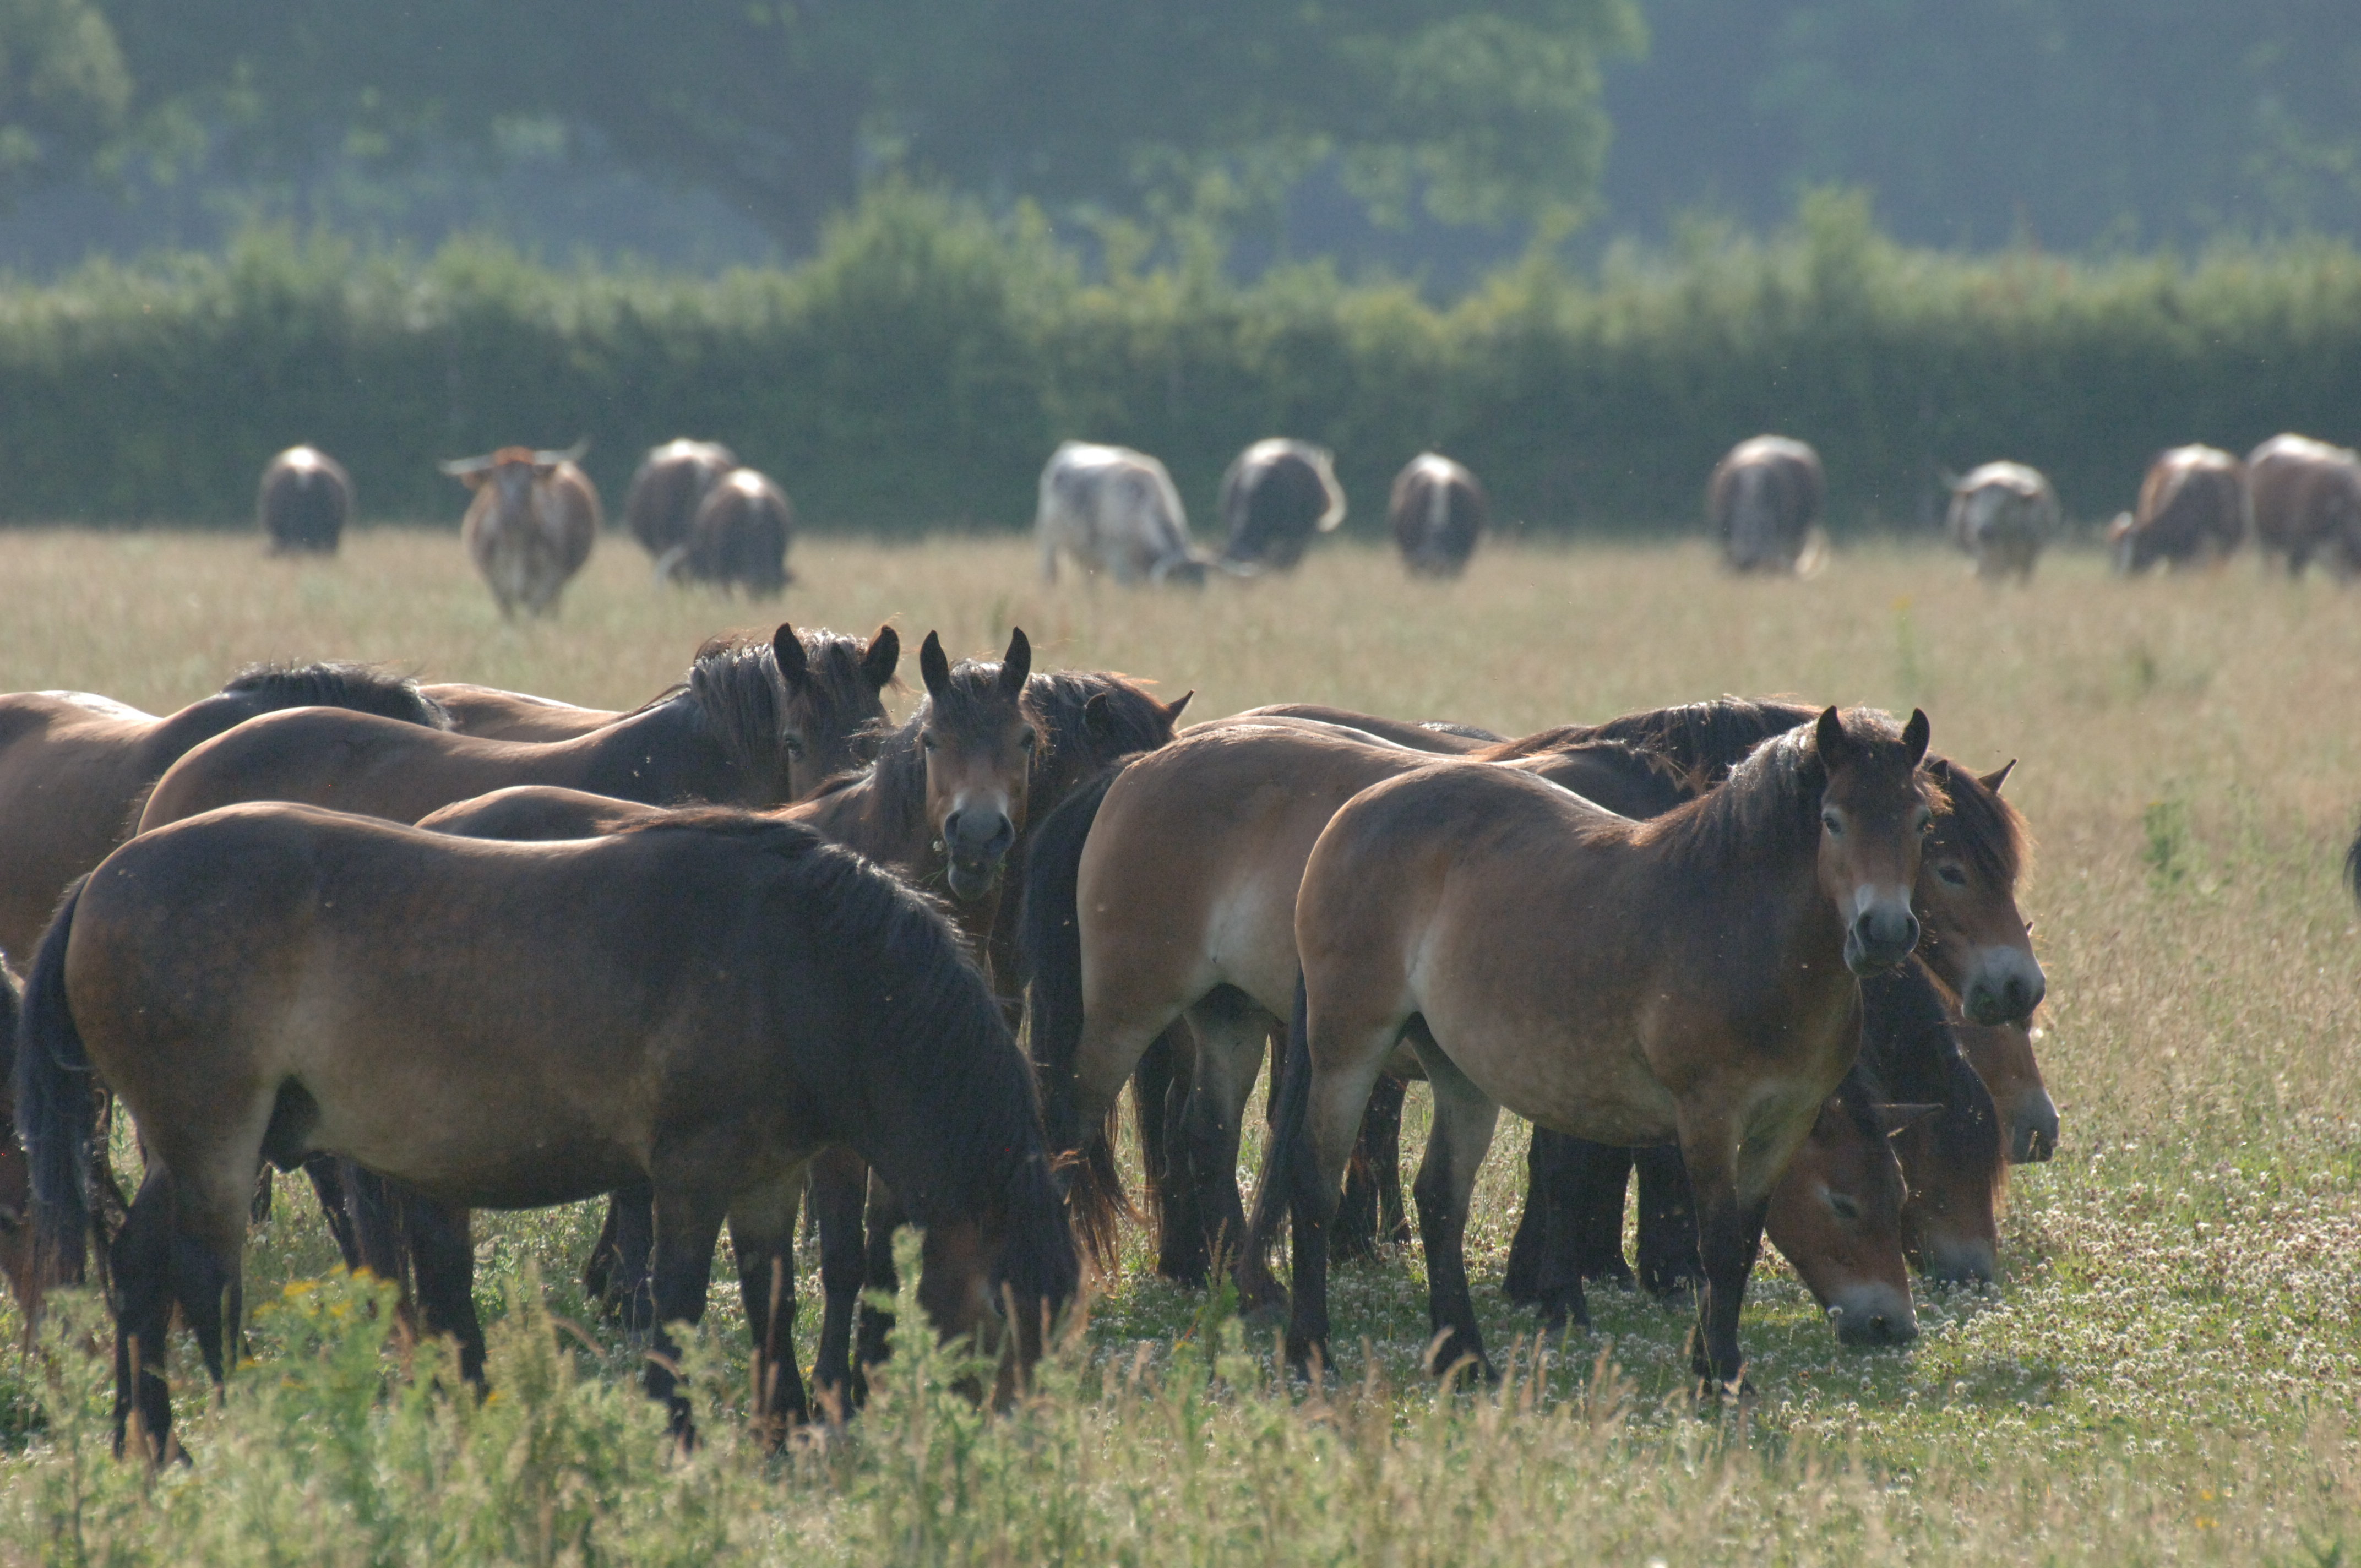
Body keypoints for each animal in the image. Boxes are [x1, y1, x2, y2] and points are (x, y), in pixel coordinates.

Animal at [12, 807, 1078, 1459]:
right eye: (1002, 1313)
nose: (1007, 1448)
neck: (797, 963)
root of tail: (99, 882)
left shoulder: (770, 1179)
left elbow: (771, 1297)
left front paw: (779, 1432)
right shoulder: (689, 1174)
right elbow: (678, 1304)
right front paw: (679, 1437)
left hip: (178, 1147)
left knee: (136, 1272)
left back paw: (153, 1447)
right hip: (215, 1143)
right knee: (203, 1281)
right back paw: (248, 1427)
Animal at [1261, 708, 1935, 1388]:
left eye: (1921, 821)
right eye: (1832, 819)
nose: (1884, 932)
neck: (1741, 934)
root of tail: (1351, 814)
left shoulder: (1786, 1123)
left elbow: (1742, 1248)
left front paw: (1714, 1364)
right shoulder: (1709, 1118)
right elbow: (1718, 1245)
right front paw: (1718, 1378)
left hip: (1460, 1072)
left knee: (1441, 1199)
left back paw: (1467, 1360)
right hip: (1348, 1047)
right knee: (1315, 1181)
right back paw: (1310, 1351)